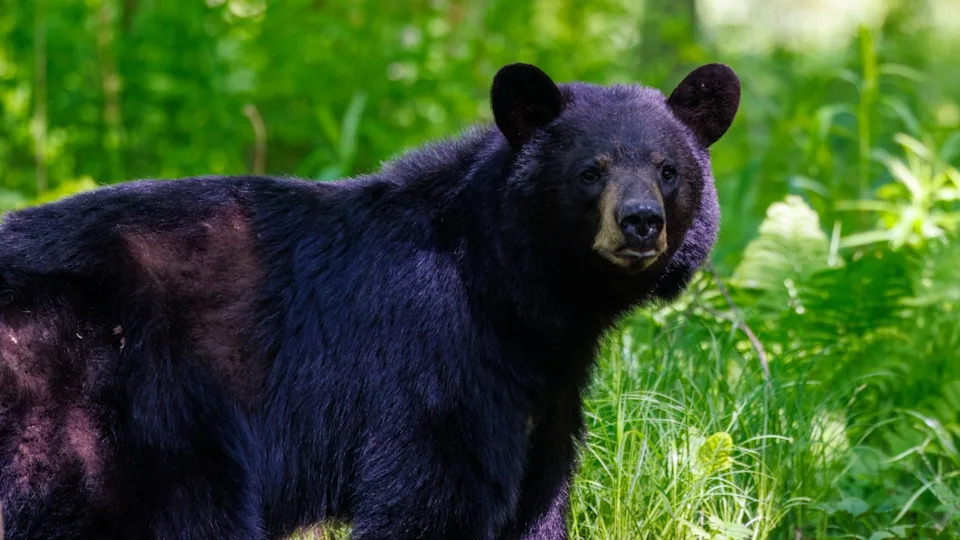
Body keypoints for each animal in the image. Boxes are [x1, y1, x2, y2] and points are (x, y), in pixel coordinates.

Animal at [0, 62, 739, 539]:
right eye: (590, 171)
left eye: (668, 170)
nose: (640, 221)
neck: (519, 299)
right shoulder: (434, 355)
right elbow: (433, 493)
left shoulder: (546, 394)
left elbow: (538, 500)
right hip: (112, 403)